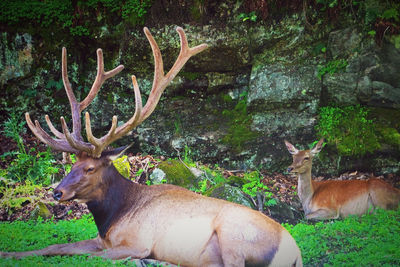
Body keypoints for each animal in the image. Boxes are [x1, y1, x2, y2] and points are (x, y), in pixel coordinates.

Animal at [0, 26, 304, 267]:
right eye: (71, 164)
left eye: (89, 168)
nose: (57, 192)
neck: (114, 217)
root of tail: (295, 253)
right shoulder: (101, 240)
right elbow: (54, 247)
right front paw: (8, 253)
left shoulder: (136, 242)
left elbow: (88, 257)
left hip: (234, 237)